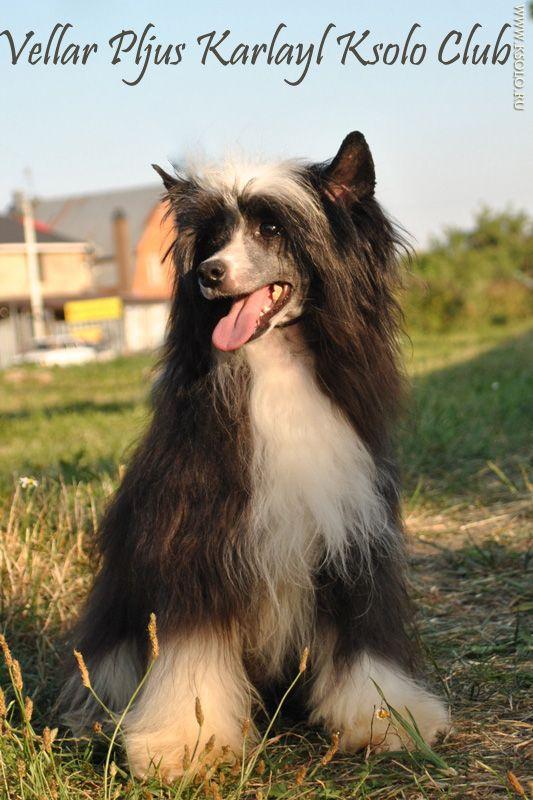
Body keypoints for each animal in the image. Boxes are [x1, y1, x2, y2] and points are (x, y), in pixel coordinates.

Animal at [60, 132, 449, 778]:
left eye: (271, 228)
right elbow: (191, 650)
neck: (276, 370)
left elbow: (362, 638)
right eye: (213, 237)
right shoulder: (198, 538)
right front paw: (182, 744)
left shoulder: (352, 533)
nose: (209, 274)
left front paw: (386, 718)